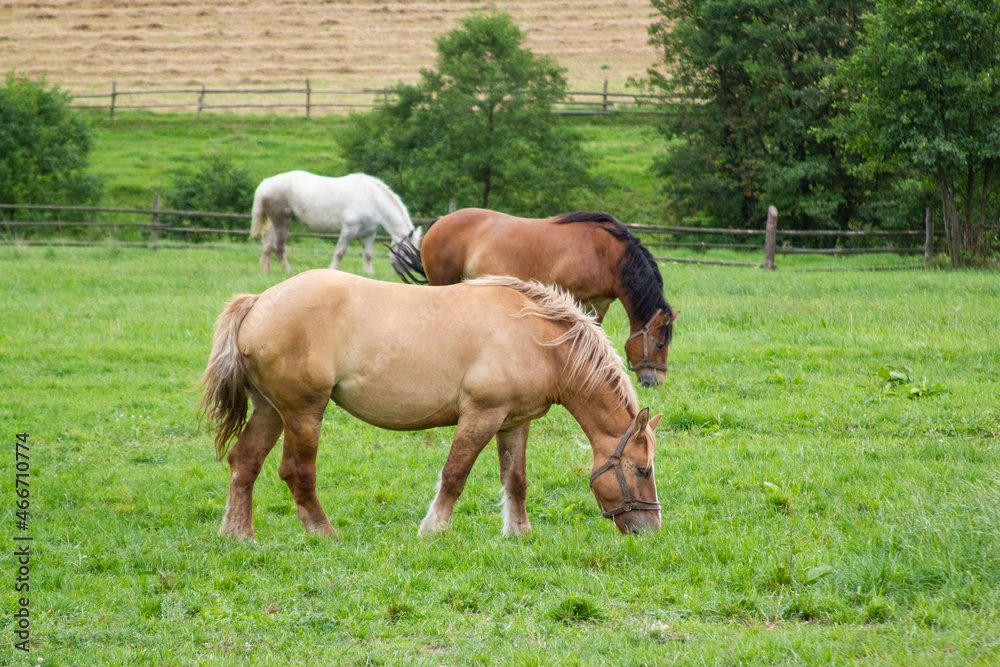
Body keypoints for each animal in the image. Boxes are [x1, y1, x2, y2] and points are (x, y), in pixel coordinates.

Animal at [200, 270, 663, 539]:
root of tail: (258, 302)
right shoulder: (481, 415)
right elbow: (455, 475)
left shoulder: (514, 422)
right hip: (303, 413)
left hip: (271, 410)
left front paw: (519, 532)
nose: (651, 530)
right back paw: (323, 533)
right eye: (642, 469)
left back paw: (238, 534)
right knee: (296, 472)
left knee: (245, 461)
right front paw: (433, 529)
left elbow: (515, 479)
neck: (537, 338)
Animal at [249, 170, 423, 274]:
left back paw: (266, 271)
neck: (373, 199)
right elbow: (340, 252)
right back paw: (289, 271)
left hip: (273, 223)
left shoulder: (369, 233)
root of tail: (266, 184)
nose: (403, 273)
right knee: (279, 247)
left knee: (267, 246)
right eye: (407, 251)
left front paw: (369, 273)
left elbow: (367, 254)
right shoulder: (349, 229)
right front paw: (332, 269)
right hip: (282, 222)